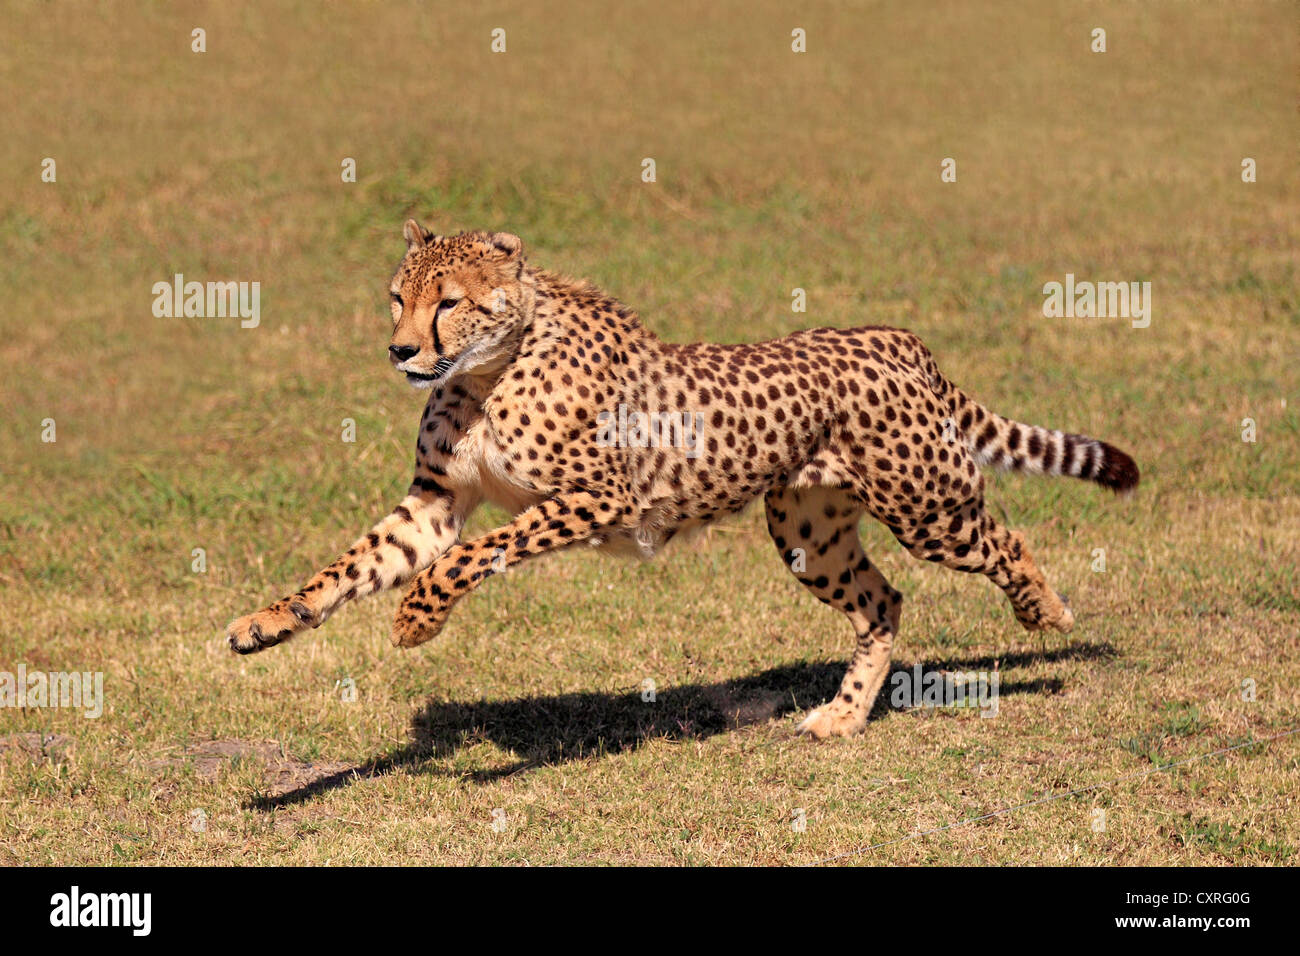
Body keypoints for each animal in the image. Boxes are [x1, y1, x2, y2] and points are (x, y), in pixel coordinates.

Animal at [226, 222, 1138, 738]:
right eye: (396, 297)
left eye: (448, 302)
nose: (401, 350)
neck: (489, 371)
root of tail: (891, 335)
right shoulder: (437, 501)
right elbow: (351, 566)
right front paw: (266, 623)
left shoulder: (600, 498)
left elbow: (478, 552)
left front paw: (418, 617)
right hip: (808, 533)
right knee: (884, 601)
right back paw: (843, 718)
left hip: (927, 506)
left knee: (1005, 539)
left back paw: (1046, 611)